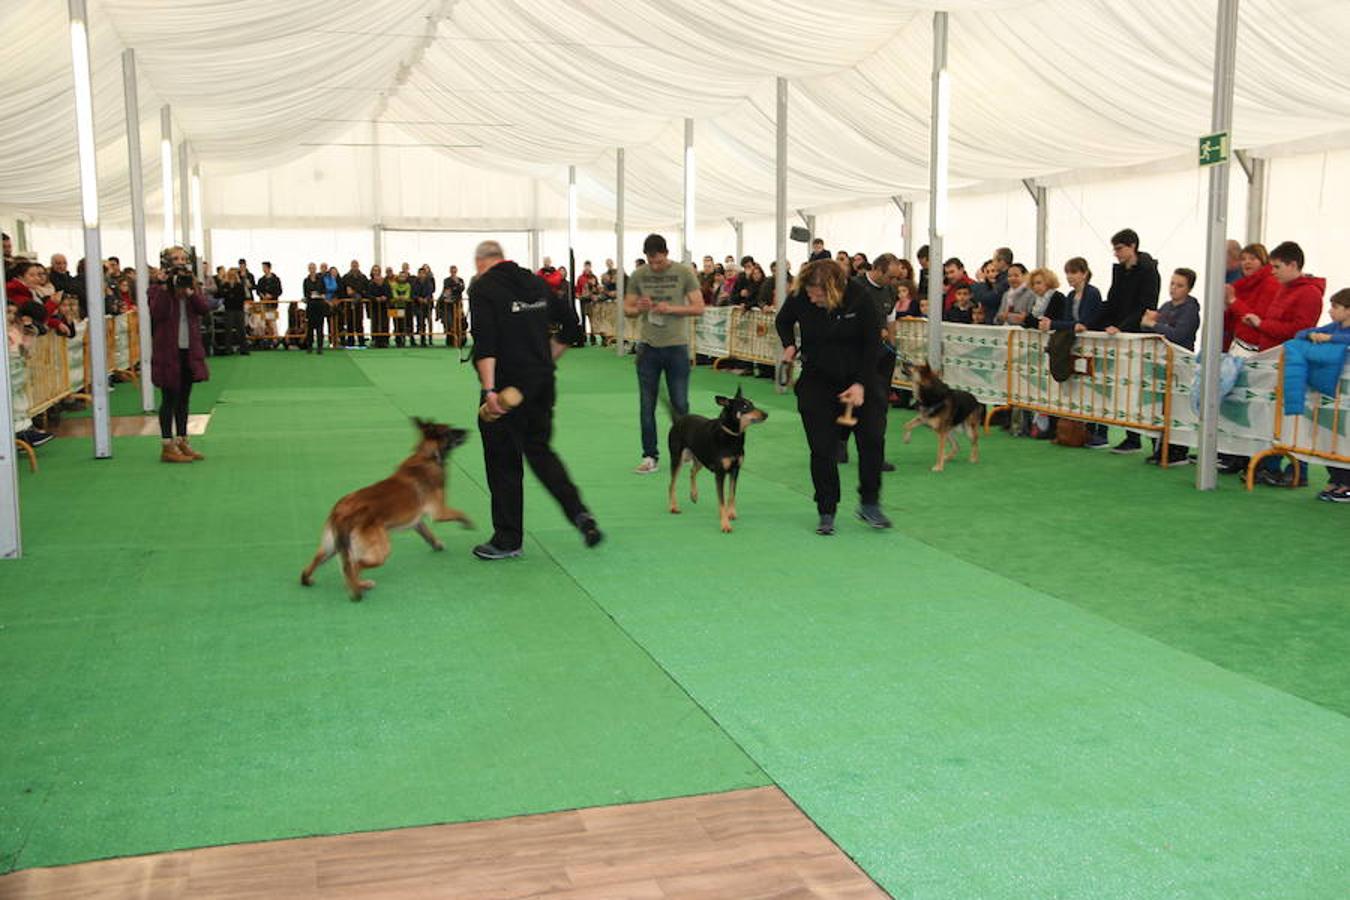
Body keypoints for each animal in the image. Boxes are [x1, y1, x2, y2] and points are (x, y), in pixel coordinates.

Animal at [301, 418, 475, 601]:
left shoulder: (417, 522)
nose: (468, 431)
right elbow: (460, 513)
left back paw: (310, 580)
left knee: (313, 568)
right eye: (450, 431)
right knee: (354, 567)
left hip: (330, 548)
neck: (427, 456)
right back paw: (362, 586)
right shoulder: (440, 512)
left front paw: (437, 544)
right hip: (381, 551)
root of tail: (342, 512)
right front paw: (468, 523)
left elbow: (428, 534)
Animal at [666, 388, 766, 531]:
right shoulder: (720, 473)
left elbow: (731, 495)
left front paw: (731, 513)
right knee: (672, 484)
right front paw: (725, 524)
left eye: (752, 403)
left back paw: (694, 495)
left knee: (692, 471)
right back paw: (673, 507)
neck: (731, 436)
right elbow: (722, 500)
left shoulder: (735, 470)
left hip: (700, 458)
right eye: (745, 406)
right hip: (678, 458)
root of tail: (678, 419)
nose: (766, 414)